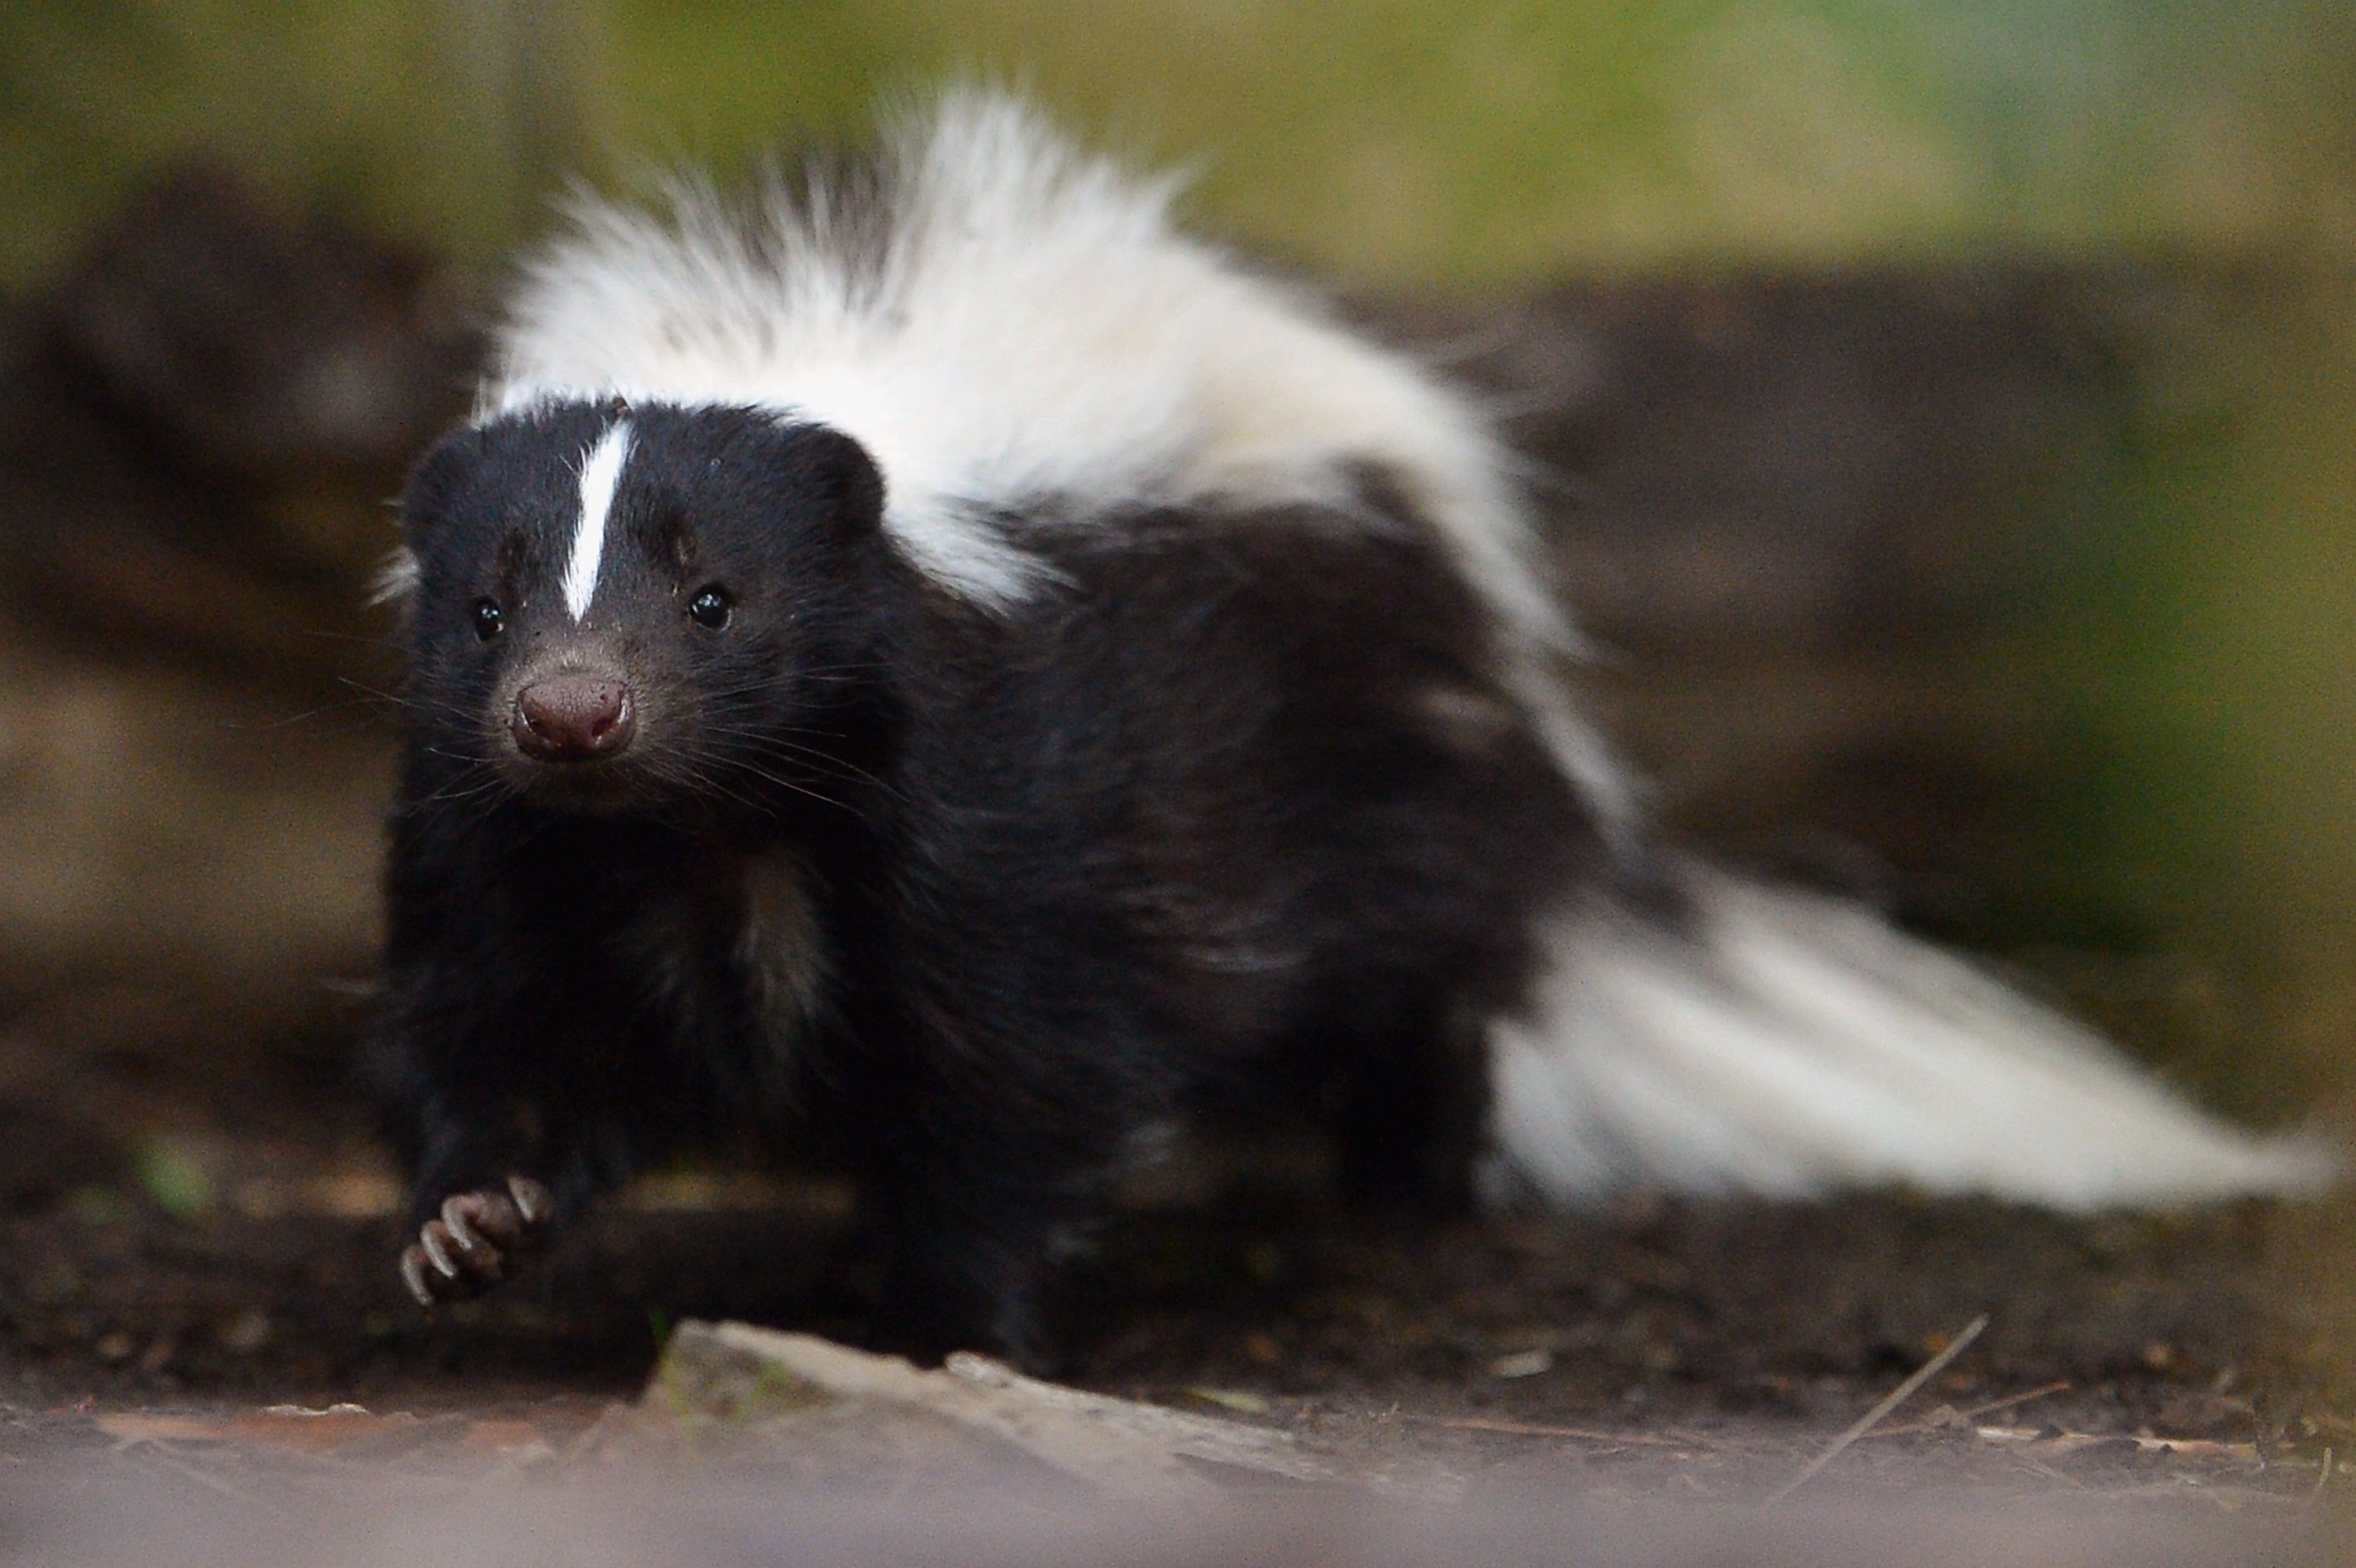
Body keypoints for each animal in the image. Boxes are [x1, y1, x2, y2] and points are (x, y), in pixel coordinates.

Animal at [377, 88, 2328, 1356]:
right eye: (487, 608)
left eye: (720, 600)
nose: (574, 707)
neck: (718, 831)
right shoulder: (508, 836)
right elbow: (501, 1025)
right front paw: (475, 1222)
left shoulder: (1017, 798)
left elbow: (1026, 1066)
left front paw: (963, 1324)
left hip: (1380, 772)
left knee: (1423, 1001)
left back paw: (1406, 1184)